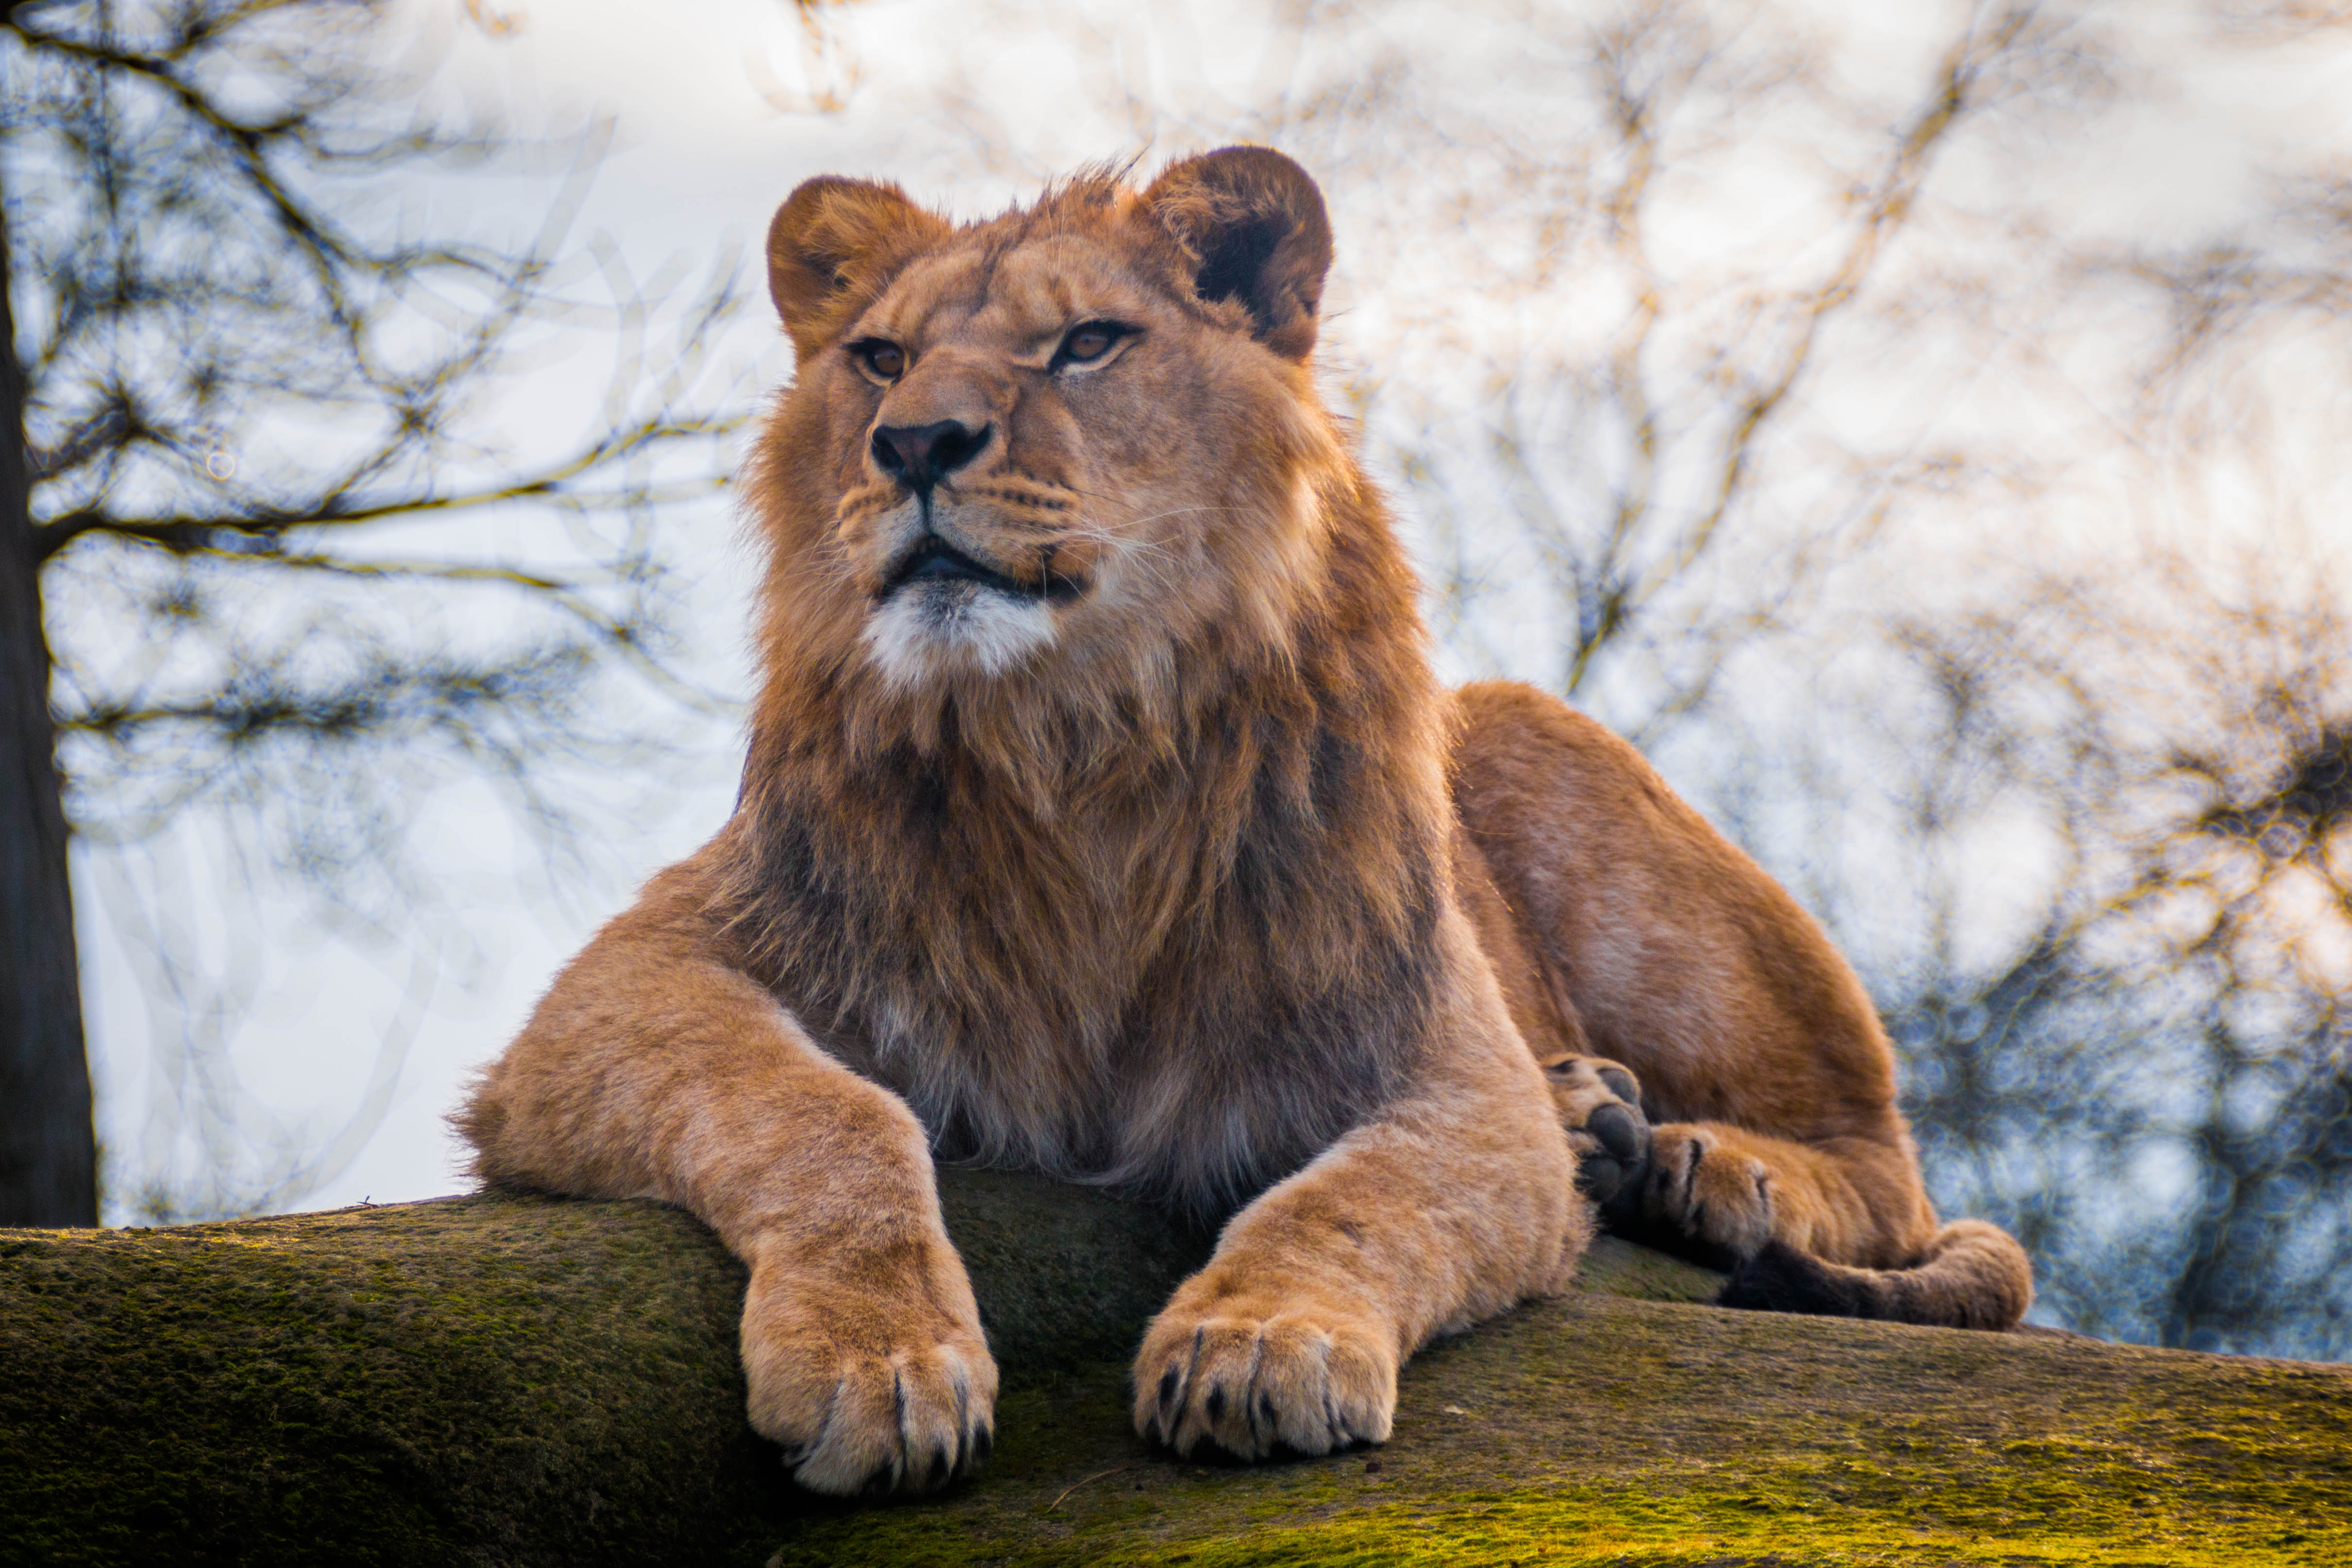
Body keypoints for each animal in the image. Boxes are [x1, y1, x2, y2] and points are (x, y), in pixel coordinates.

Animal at [454, 150, 2022, 1504]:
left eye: (1087, 344)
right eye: (880, 360)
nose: (912, 444)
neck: (1067, 739)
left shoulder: (1442, 1067)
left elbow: (1352, 1199)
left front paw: (1257, 1342)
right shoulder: (631, 984)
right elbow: (827, 1109)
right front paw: (881, 1360)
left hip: (1540, 748)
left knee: (1881, 1157)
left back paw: (1703, 1163)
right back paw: (1604, 1114)